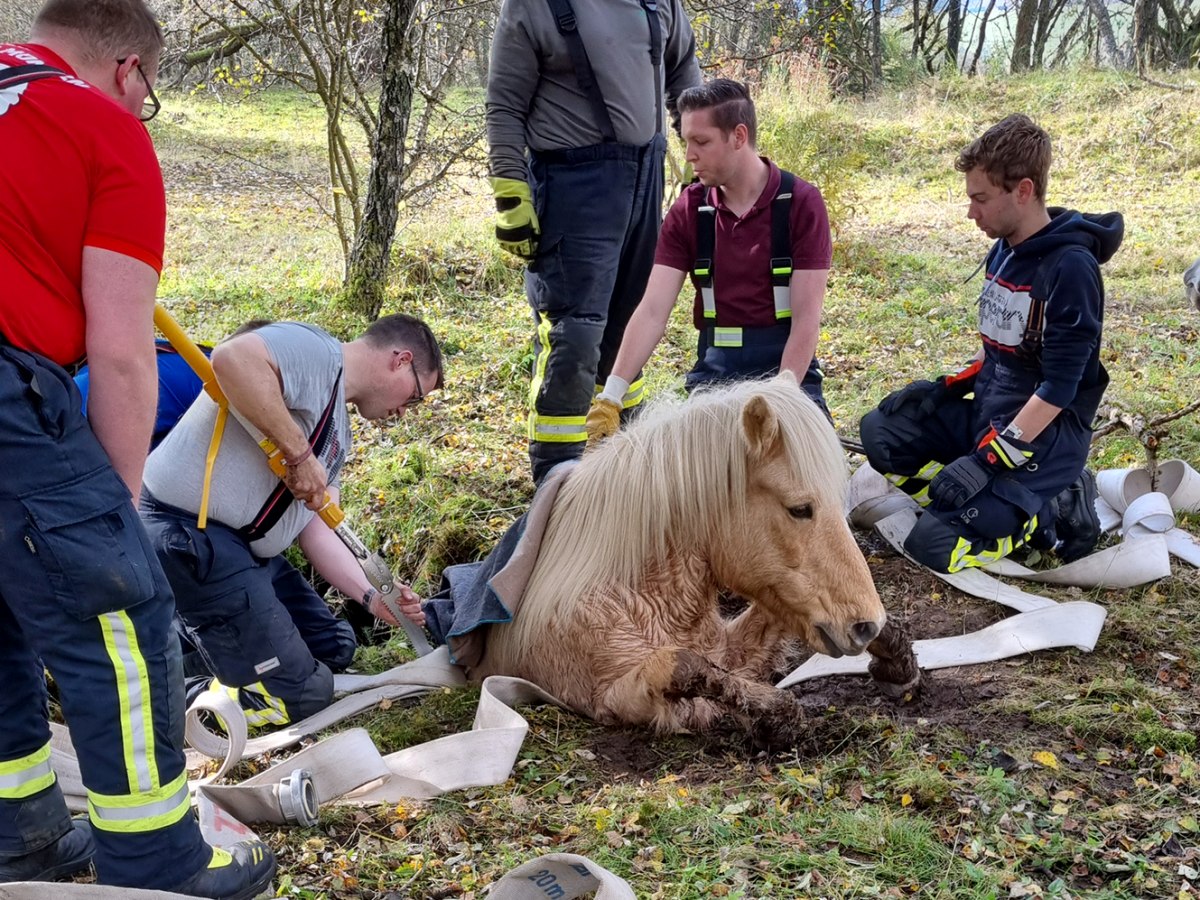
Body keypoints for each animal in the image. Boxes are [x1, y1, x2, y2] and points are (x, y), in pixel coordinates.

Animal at [472, 374, 897, 739]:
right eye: (800, 509)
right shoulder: (610, 696)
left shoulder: (734, 642)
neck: (633, 595)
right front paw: (772, 712)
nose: (867, 625)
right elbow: (684, 667)